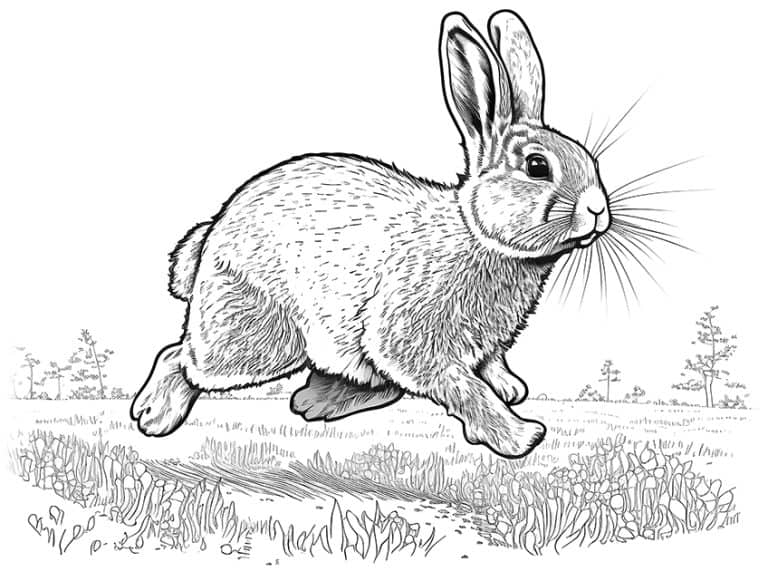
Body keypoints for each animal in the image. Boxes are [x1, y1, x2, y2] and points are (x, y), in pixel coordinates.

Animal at [130, 10, 611, 459]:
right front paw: (519, 436)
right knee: (180, 358)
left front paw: (510, 390)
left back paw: (316, 399)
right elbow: (461, 388)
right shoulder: (411, 336)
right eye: (537, 166)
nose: (597, 210)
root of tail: (213, 235)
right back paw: (152, 415)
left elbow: (488, 370)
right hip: (255, 335)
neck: (476, 234)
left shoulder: (483, 345)